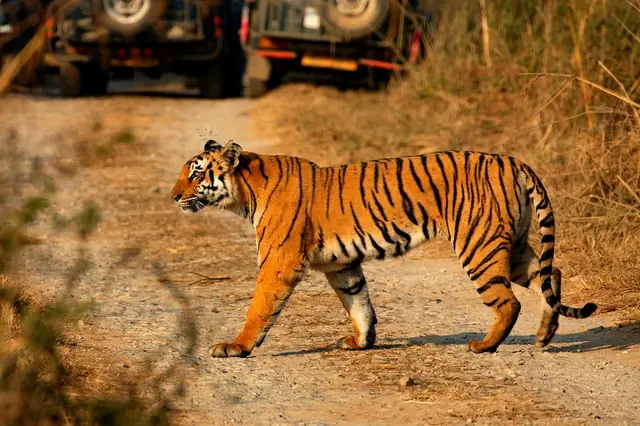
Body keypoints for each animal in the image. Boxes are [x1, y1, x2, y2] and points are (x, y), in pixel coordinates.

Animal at [170, 139, 597, 358]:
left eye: (196, 173)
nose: (173, 196)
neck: (246, 191)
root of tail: (513, 162)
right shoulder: (341, 264)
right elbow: (358, 302)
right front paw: (361, 342)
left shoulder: (280, 261)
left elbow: (259, 308)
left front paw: (236, 347)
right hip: (510, 247)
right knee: (552, 274)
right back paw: (544, 335)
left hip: (479, 246)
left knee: (509, 302)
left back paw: (484, 345)